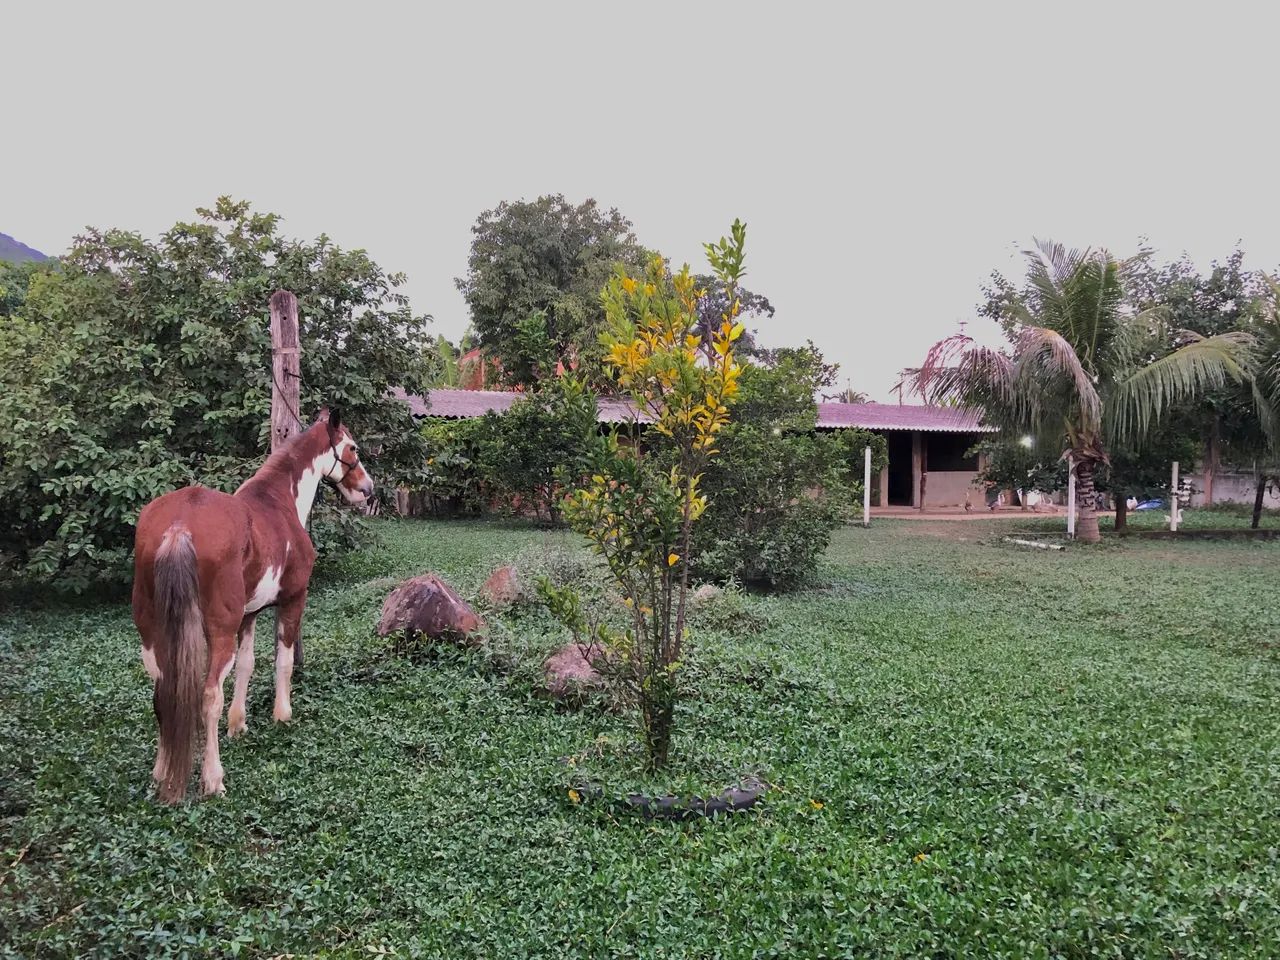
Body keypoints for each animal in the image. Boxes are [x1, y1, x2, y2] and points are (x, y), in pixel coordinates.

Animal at [131, 408, 374, 803]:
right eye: (352, 447)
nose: (368, 489)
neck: (279, 501)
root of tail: (179, 526)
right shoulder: (292, 600)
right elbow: (283, 660)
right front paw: (282, 714)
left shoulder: (249, 614)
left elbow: (247, 666)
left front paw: (239, 723)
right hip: (218, 633)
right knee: (208, 696)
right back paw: (213, 779)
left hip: (153, 632)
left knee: (163, 691)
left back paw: (161, 773)